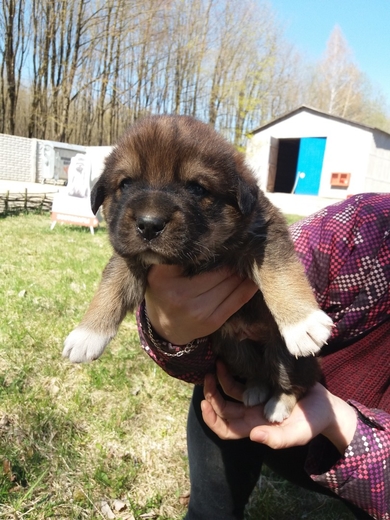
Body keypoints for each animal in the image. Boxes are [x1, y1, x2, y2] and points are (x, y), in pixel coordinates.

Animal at [61, 115, 332, 422]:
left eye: (197, 188)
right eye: (126, 183)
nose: (149, 225)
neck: (191, 259)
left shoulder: (264, 235)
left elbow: (279, 273)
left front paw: (303, 323)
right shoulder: (129, 255)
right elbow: (111, 287)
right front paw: (87, 334)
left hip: (284, 358)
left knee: (297, 384)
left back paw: (278, 405)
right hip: (236, 352)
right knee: (258, 374)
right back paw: (255, 390)